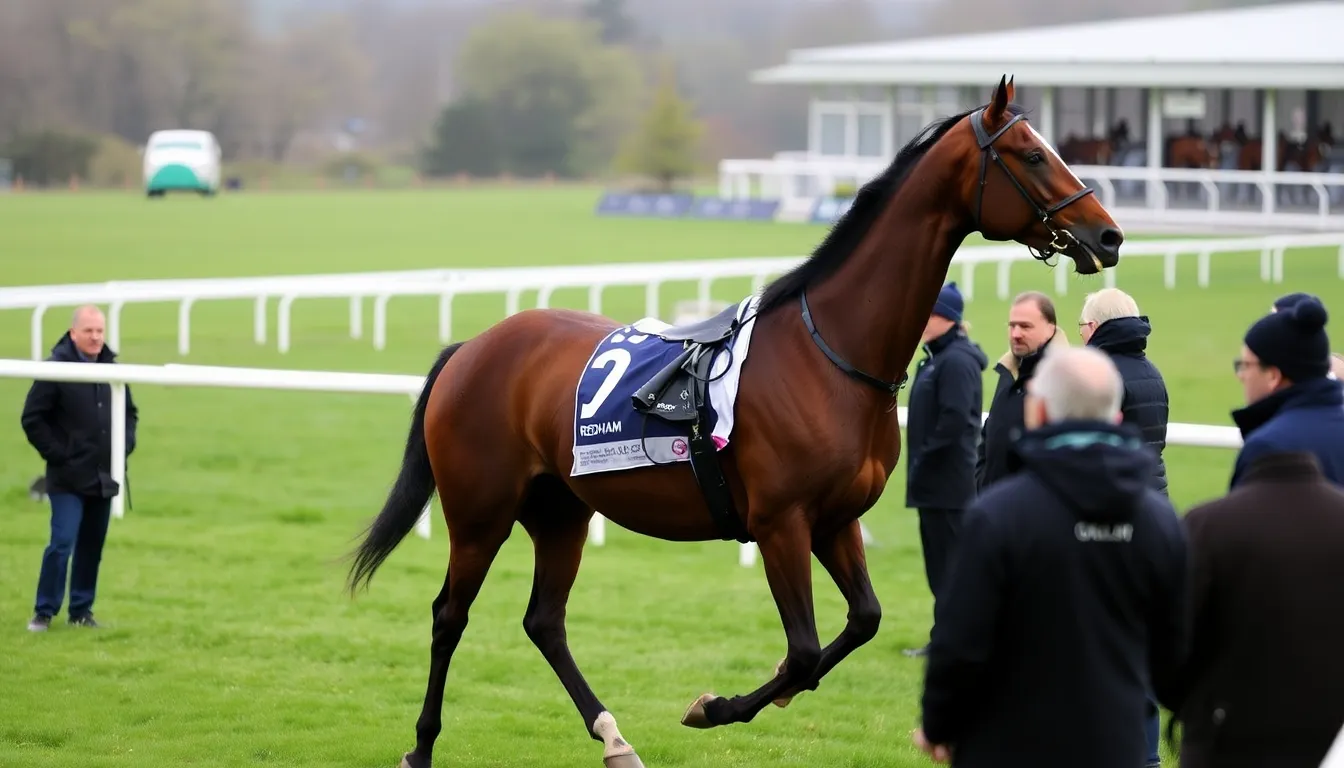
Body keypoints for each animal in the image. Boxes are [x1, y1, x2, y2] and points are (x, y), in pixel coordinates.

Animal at [345, 75, 1124, 768]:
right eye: (1030, 154)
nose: (1108, 234)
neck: (833, 350)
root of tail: (472, 347)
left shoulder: (835, 520)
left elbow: (862, 621)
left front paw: (753, 697)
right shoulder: (782, 522)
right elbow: (804, 651)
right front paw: (716, 707)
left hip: (561, 509)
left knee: (545, 622)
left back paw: (614, 739)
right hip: (480, 511)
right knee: (450, 614)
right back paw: (421, 745)